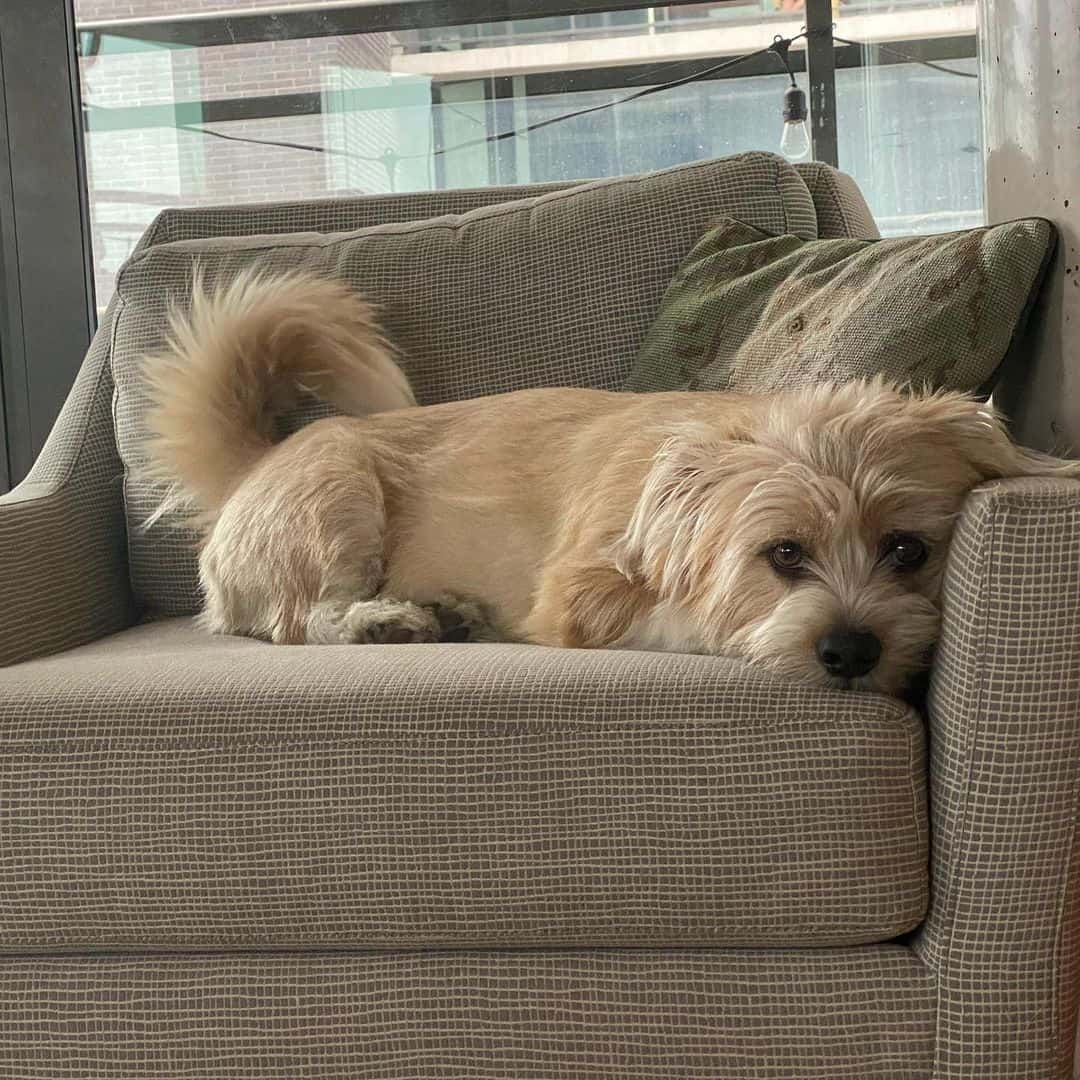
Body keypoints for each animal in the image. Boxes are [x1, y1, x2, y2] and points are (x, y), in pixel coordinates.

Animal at [143, 267, 1080, 691]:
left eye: (908, 550)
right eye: (783, 555)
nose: (850, 652)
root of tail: (251, 467)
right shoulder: (576, 594)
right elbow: (679, 617)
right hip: (337, 497)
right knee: (301, 616)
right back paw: (385, 621)